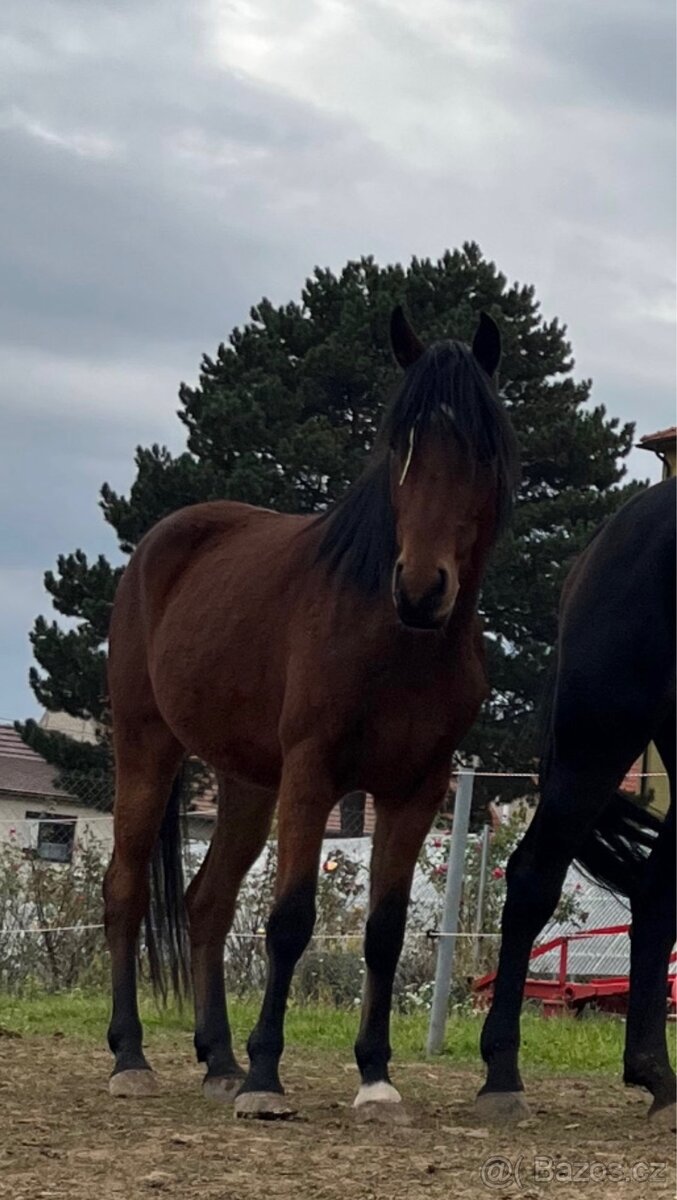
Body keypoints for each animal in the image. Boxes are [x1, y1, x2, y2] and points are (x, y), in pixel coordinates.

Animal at [103, 307, 519, 1121]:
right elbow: (291, 920)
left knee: (206, 905)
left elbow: (385, 931)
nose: (420, 588)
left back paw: (218, 1061)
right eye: (400, 445)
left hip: (246, 784)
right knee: (125, 892)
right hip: (147, 749)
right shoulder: (312, 772)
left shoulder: (415, 789)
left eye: (480, 449)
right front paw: (267, 1077)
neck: (395, 637)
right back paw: (131, 1058)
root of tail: (155, 548)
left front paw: (375, 1076)